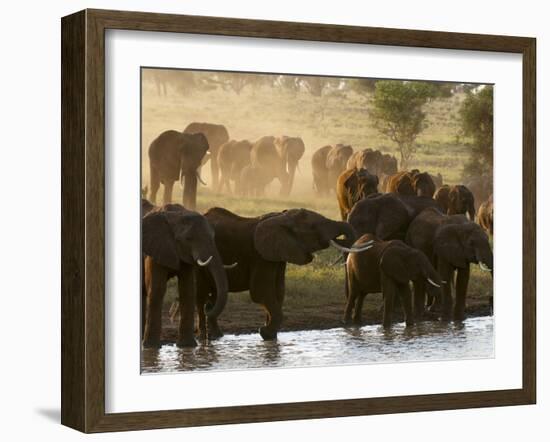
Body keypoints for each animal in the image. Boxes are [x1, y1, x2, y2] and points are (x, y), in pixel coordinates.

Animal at [142, 205, 231, 348]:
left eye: (213, 237)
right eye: (188, 238)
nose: (207, 306)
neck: (176, 214)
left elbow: (187, 290)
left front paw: (187, 346)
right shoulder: (154, 249)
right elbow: (157, 290)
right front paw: (151, 347)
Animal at [195, 206, 376, 338]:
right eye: (313, 227)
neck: (282, 217)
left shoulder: (278, 255)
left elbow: (278, 291)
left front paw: (269, 335)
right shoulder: (261, 256)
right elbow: (261, 292)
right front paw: (265, 333)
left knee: (212, 296)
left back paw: (216, 336)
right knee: (202, 297)